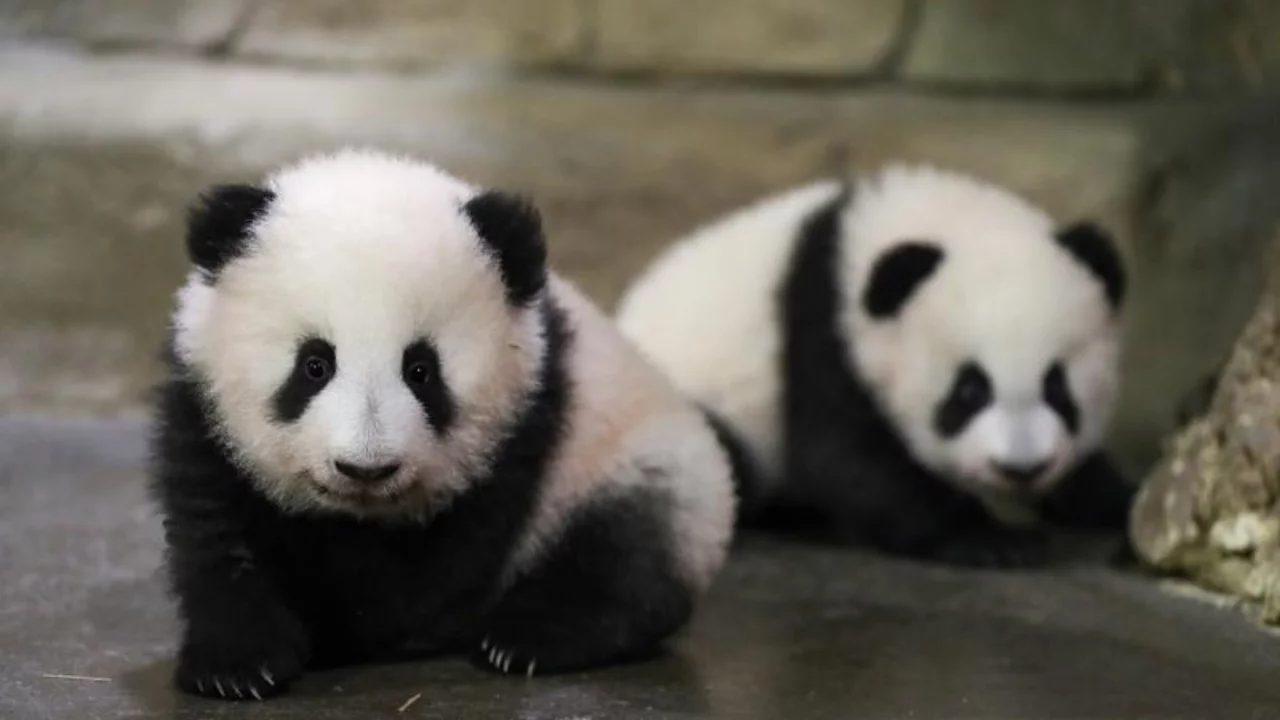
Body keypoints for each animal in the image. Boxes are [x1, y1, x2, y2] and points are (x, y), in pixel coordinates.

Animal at [149, 148, 735, 701]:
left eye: (421, 370)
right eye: (315, 364)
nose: (366, 468)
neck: (358, 515)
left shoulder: (524, 427)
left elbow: (426, 576)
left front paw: (342, 628)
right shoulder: (202, 414)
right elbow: (215, 535)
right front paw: (237, 665)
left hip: (633, 460)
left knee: (622, 552)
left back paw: (530, 636)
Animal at [614, 163, 1133, 568]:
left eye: (1058, 387)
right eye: (969, 391)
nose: (1022, 467)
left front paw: (1112, 500)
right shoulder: (822, 329)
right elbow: (849, 458)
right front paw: (992, 540)